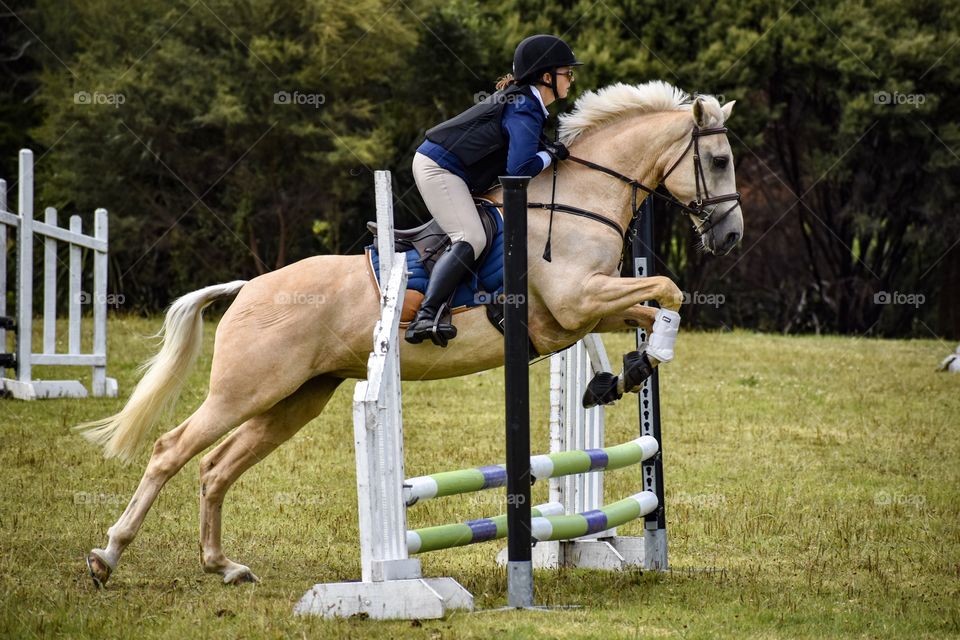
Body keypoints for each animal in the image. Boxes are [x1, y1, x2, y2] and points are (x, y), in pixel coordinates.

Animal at [80, 82, 744, 588]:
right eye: (718, 162)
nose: (732, 236)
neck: (576, 202)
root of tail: (248, 289)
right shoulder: (577, 299)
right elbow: (667, 290)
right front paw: (637, 364)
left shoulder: (581, 311)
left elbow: (652, 309)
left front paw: (623, 374)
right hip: (245, 389)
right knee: (171, 449)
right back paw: (107, 555)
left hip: (296, 398)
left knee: (216, 467)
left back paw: (223, 566)